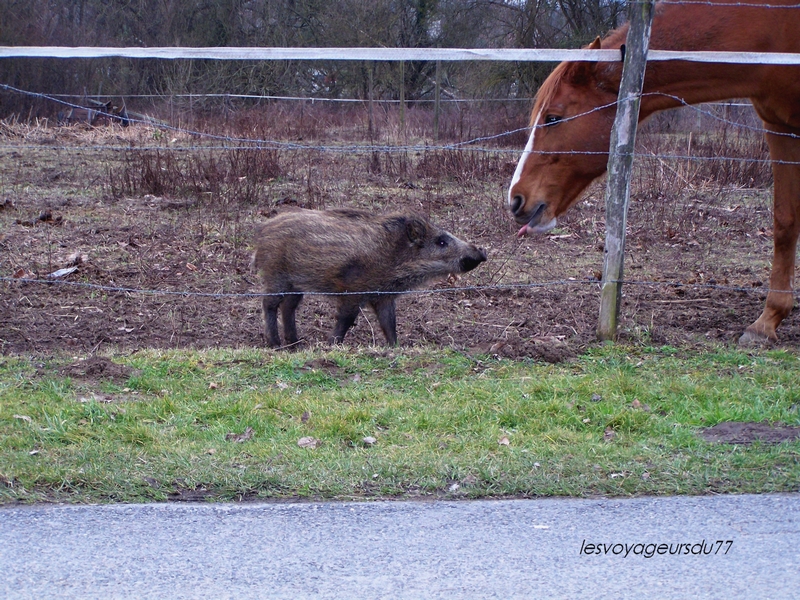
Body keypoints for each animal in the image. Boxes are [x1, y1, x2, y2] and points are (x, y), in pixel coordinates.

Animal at [508, 0, 800, 344]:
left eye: (553, 118)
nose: (516, 199)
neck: (772, 28)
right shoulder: (778, 127)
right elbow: (784, 221)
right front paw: (767, 322)